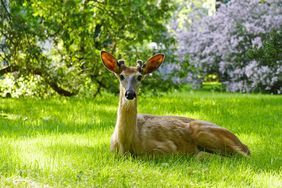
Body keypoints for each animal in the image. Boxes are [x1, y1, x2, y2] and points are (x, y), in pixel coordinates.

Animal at [100, 50, 250, 156]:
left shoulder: (167, 148)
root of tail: (242, 143)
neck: (125, 145)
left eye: (140, 77)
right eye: (121, 76)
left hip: (201, 130)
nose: (130, 94)